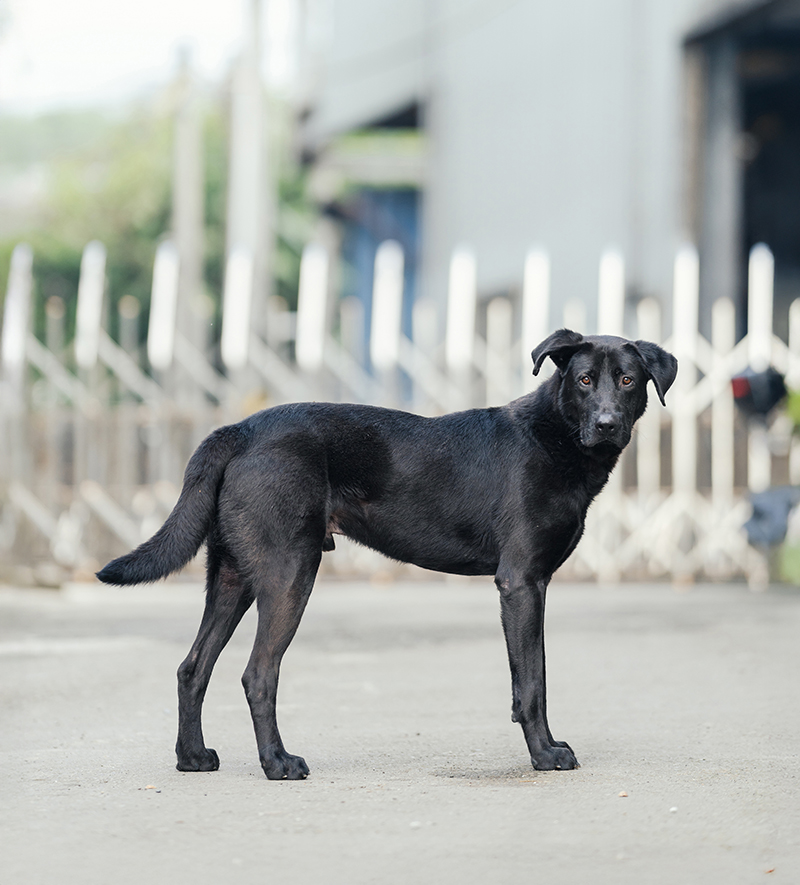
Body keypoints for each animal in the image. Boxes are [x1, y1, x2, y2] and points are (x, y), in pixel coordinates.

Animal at [97, 329, 677, 778]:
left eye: (628, 380)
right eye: (584, 380)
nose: (606, 424)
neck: (554, 436)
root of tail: (238, 430)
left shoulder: (531, 586)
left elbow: (529, 680)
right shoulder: (521, 582)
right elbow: (533, 682)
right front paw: (545, 756)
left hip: (233, 576)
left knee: (192, 668)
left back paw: (192, 758)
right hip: (289, 572)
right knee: (257, 673)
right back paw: (278, 763)